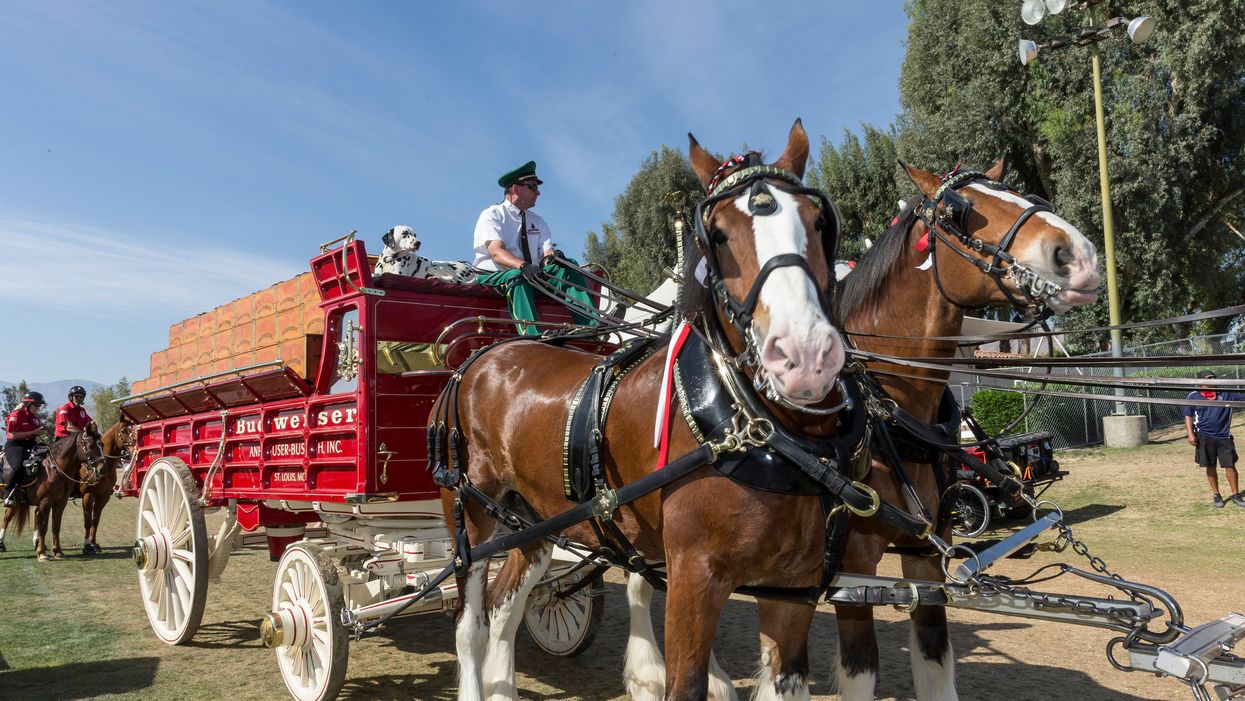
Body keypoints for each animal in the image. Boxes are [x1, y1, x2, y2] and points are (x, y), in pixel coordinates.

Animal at [0, 428, 105, 560]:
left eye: (102, 445)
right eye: (90, 445)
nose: (102, 470)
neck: (52, 469)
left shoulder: (60, 503)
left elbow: (56, 526)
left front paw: (57, 551)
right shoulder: (46, 502)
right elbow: (43, 526)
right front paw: (41, 554)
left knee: (8, 516)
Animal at [80, 420, 135, 557]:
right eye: (123, 431)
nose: (136, 442)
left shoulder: (103, 497)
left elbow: (95, 520)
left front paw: (94, 544)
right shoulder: (88, 495)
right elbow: (87, 521)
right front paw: (87, 546)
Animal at [435, 122, 856, 701]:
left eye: (818, 221)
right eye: (717, 235)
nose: (806, 355)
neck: (754, 427)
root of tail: (479, 358)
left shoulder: (792, 589)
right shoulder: (693, 575)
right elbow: (682, 678)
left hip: (534, 519)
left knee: (504, 606)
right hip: (471, 516)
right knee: (468, 622)